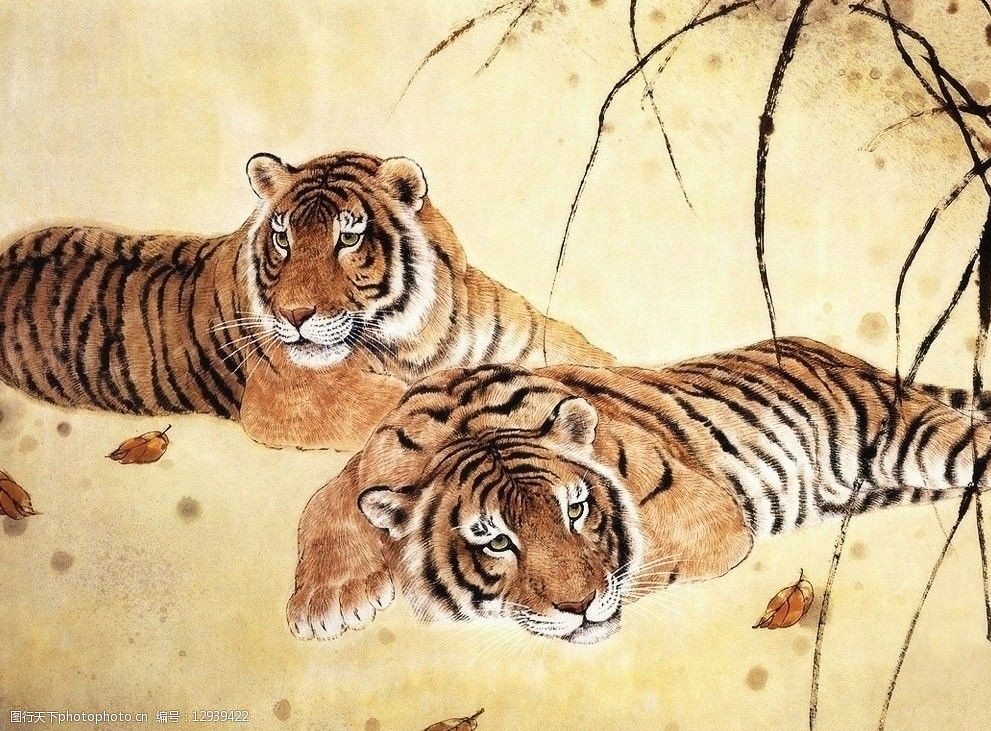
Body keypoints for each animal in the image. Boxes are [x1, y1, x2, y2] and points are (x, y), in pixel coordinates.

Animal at [0, 152, 612, 449]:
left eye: (349, 236)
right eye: (282, 236)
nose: (293, 316)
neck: (421, 333)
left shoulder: (528, 336)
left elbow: (595, 361)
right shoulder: (295, 400)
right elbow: (408, 404)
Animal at [288, 336, 991, 643]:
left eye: (576, 510)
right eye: (493, 541)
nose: (579, 609)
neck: (468, 425)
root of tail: (847, 356)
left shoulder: (705, 512)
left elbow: (644, 559)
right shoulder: (374, 455)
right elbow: (323, 501)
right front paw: (325, 602)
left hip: (908, 435)